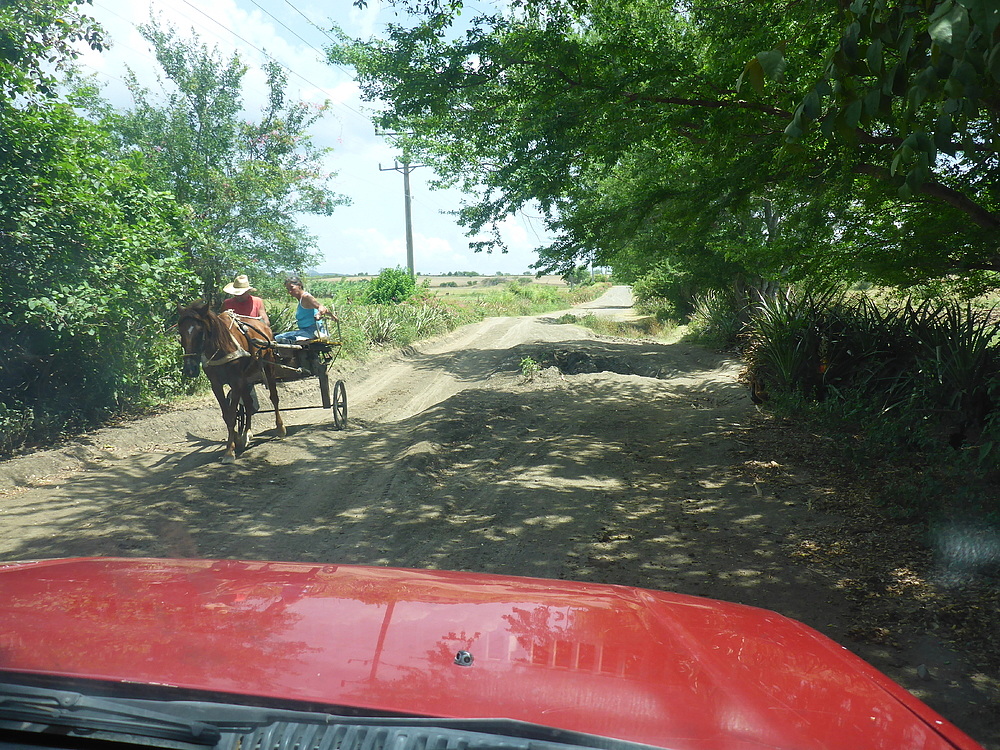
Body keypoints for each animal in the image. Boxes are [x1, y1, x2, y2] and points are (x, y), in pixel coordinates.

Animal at [176, 302, 284, 462]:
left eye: (200, 332)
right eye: (180, 333)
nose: (190, 369)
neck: (220, 347)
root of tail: (264, 326)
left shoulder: (236, 381)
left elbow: (232, 414)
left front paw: (229, 452)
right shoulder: (217, 385)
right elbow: (227, 415)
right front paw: (234, 443)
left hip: (268, 365)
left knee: (274, 397)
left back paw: (280, 428)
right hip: (246, 379)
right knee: (249, 404)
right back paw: (247, 433)